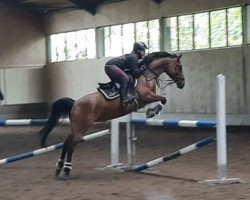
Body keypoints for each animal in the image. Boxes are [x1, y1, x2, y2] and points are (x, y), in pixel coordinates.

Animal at [38, 51, 184, 178]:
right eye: (179, 67)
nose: (182, 83)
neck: (147, 75)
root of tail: (75, 103)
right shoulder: (145, 96)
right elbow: (163, 99)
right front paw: (153, 111)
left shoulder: (145, 99)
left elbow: (162, 100)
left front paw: (152, 111)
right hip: (81, 129)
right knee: (71, 146)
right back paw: (67, 170)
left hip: (76, 128)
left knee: (66, 143)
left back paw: (59, 168)